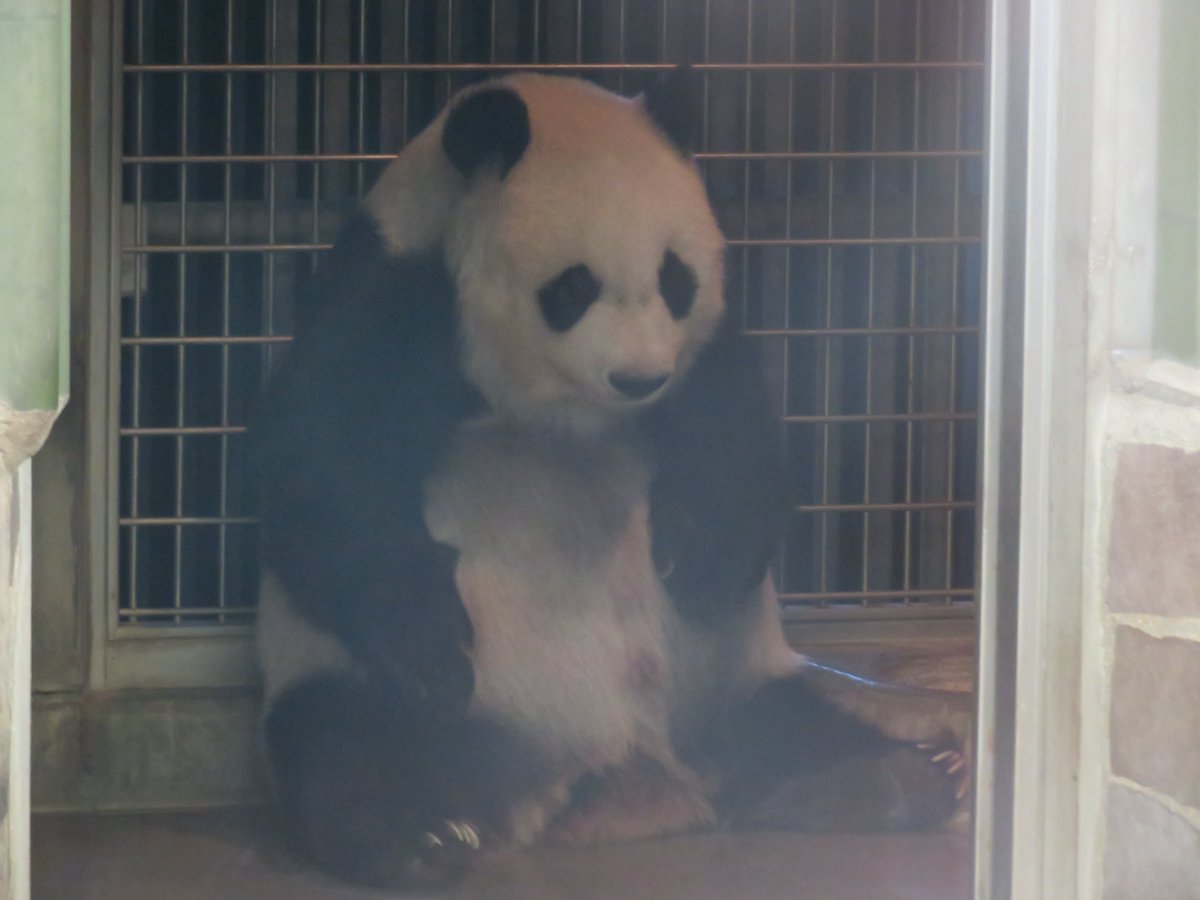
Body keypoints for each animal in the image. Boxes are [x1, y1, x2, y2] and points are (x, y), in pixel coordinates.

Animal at [253, 71, 966, 887]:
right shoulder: (392, 291)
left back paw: (893, 778)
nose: (638, 378)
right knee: (345, 747)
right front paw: (433, 645)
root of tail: (622, 783)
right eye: (573, 288)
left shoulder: (700, 350)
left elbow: (732, 432)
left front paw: (703, 567)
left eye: (674, 278)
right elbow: (324, 474)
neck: (567, 411)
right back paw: (420, 836)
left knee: (786, 728)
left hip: (729, 677)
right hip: (357, 684)